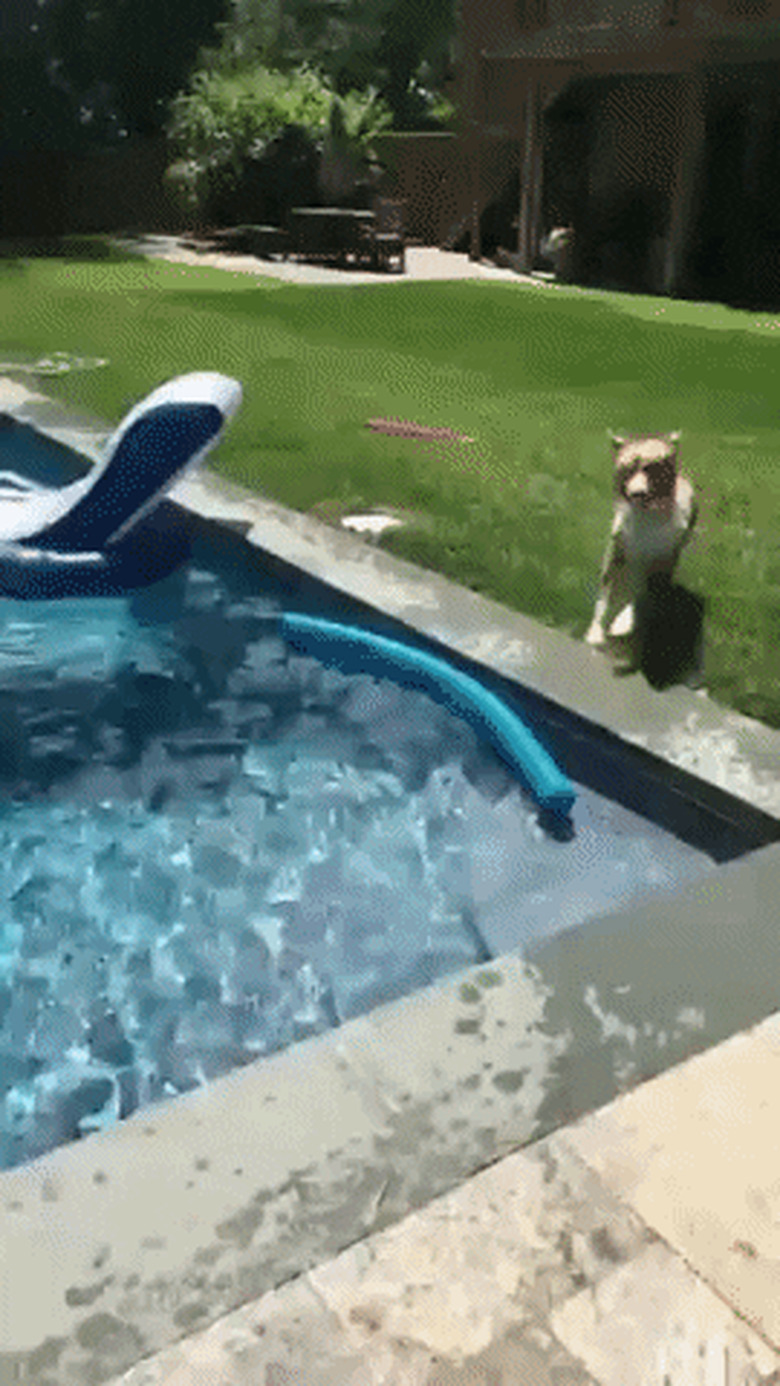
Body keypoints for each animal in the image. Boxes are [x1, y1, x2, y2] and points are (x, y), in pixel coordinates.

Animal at [587, 435, 701, 668]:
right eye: (629, 469)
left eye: (650, 468)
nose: (637, 494)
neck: (646, 518)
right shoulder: (616, 555)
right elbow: (604, 597)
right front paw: (595, 632)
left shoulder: (662, 562)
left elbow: (640, 597)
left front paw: (623, 624)